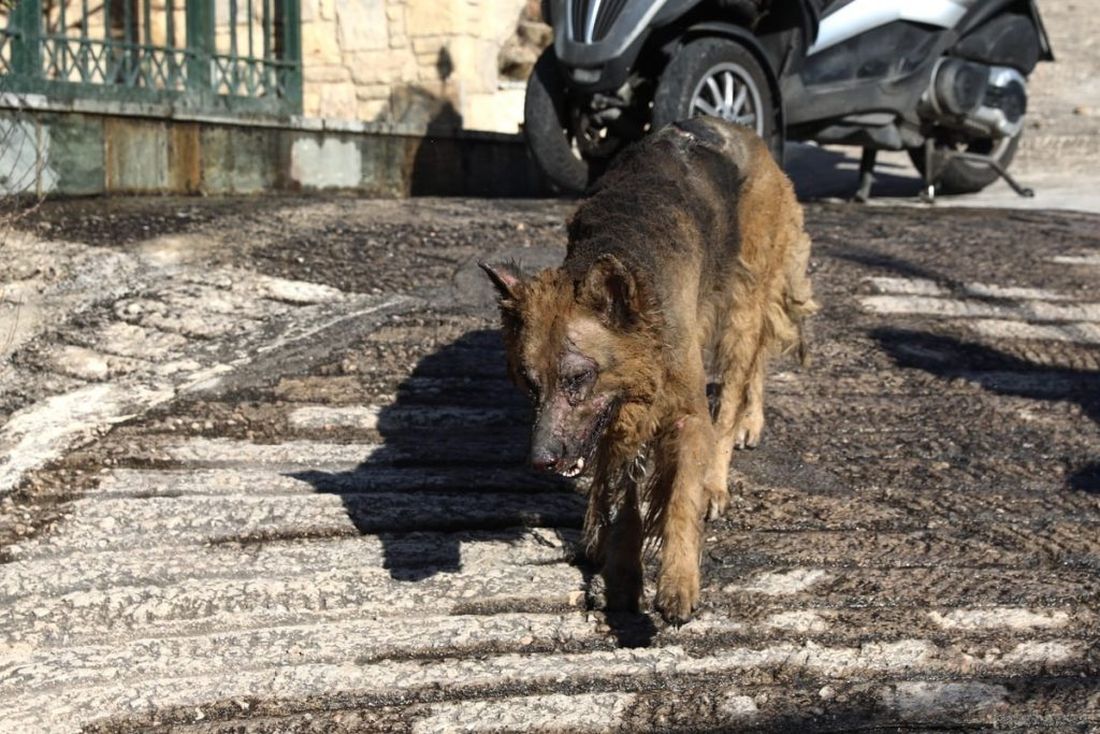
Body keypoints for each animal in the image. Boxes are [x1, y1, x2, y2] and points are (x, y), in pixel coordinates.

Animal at [481, 117, 818, 625]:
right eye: (530, 385)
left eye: (577, 378)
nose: (539, 460)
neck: (624, 247)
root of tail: (740, 129)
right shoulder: (617, 424)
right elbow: (621, 490)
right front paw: (618, 562)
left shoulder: (685, 413)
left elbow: (679, 498)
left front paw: (678, 580)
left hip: (741, 307)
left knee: (736, 388)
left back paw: (720, 472)